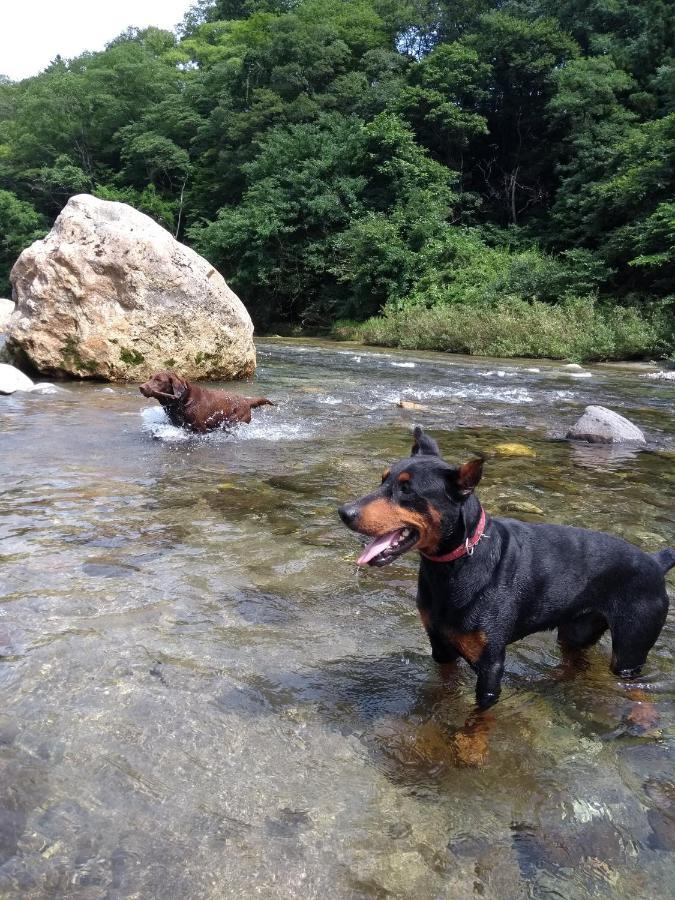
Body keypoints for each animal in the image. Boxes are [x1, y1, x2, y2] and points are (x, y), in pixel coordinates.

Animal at [340, 426, 672, 712]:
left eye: (407, 489)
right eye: (383, 480)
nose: (344, 512)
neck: (455, 567)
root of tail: (656, 561)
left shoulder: (491, 664)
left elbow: (478, 723)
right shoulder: (441, 647)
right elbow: (444, 689)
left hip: (631, 646)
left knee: (636, 686)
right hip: (577, 631)